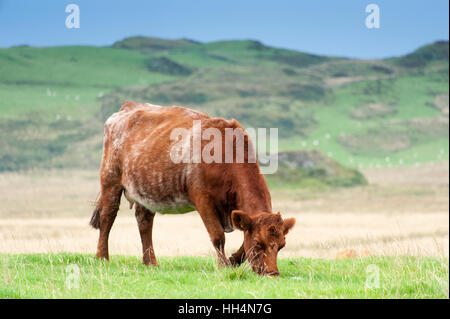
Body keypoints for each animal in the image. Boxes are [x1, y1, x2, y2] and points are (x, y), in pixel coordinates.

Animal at [90, 101, 296, 276]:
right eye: (258, 243)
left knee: (144, 221)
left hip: (146, 190)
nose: (272, 273)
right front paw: (223, 266)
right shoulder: (203, 199)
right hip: (111, 179)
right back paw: (102, 257)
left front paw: (233, 260)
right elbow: (218, 236)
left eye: (281, 245)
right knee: (108, 215)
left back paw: (150, 262)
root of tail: (127, 108)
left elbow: (242, 242)